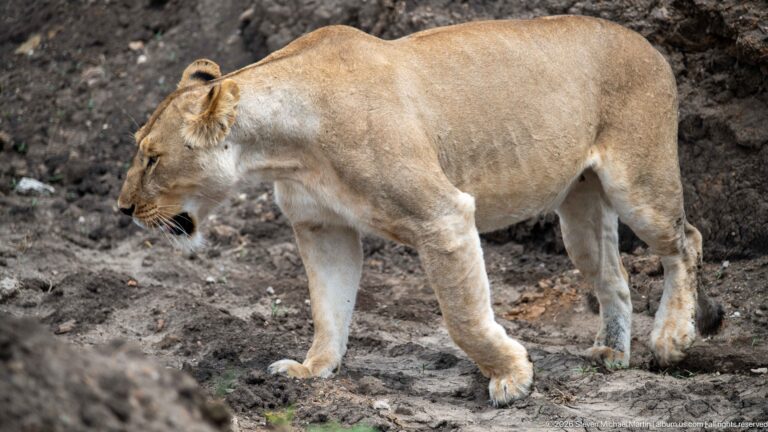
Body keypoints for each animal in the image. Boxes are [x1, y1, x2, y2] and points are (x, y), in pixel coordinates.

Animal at [117, 16, 724, 405]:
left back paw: (672, 338)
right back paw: (611, 354)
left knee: (686, 240)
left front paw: (512, 377)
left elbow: (462, 317)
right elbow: (327, 309)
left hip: (638, 183)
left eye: (152, 158)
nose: (123, 208)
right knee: (613, 274)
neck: (284, 150)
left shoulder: (443, 216)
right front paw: (312, 371)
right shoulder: (323, 228)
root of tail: (648, 44)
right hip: (580, 205)